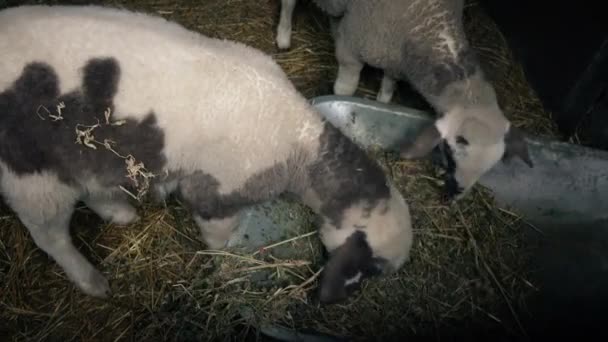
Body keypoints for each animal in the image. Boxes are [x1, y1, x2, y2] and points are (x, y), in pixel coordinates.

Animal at [0, 4, 414, 304]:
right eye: (373, 268)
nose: (342, 296)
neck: (299, 144)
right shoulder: (217, 190)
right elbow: (217, 235)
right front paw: (226, 263)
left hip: (82, 152)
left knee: (90, 183)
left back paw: (119, 213)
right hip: (27, 171)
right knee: (49, 235)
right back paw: (92, 282)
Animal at [274, 0, 532, 200]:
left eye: (489, 168)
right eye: (451, 154)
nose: (456, 195)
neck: (429, 25)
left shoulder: (395, 60)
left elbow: (388, 86)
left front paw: (382, 102)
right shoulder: (352, 48)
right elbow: (346, 87)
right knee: (289, 2)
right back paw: (283, 35)